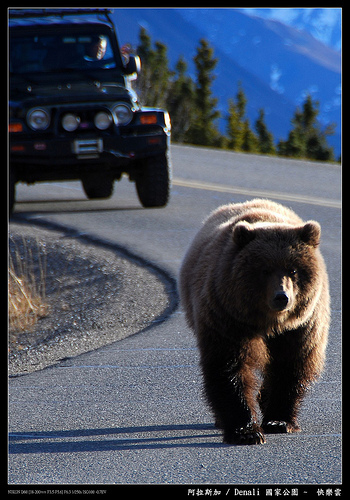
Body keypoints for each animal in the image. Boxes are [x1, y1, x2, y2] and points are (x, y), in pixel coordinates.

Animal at [179, 199, 330, 446]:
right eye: (264, 269)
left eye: (293, 269)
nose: (281, 297)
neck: (271, 322)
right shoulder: (228, 318)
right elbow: (230, 367)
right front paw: (246, 431)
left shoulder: (302, 326)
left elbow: (290, 365)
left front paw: (279, 421)